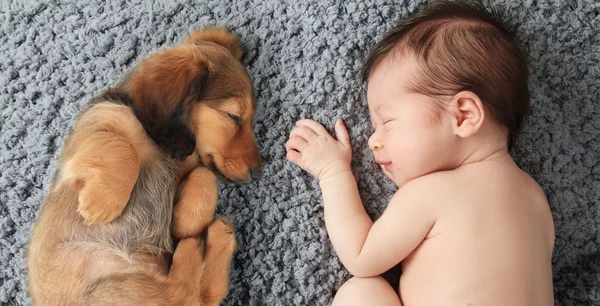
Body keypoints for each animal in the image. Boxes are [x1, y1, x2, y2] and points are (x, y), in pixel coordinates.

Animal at [27, 27, 262, 304]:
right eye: (233, 117)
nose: (258, 174)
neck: (162, 147)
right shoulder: (97, 125)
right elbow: (124, 148)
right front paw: (101, 204)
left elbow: (204, 173)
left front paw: (186, 222)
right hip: (115, 289)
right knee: (185, 293)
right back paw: (197, 246)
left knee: (195, 294)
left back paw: (213, 237)